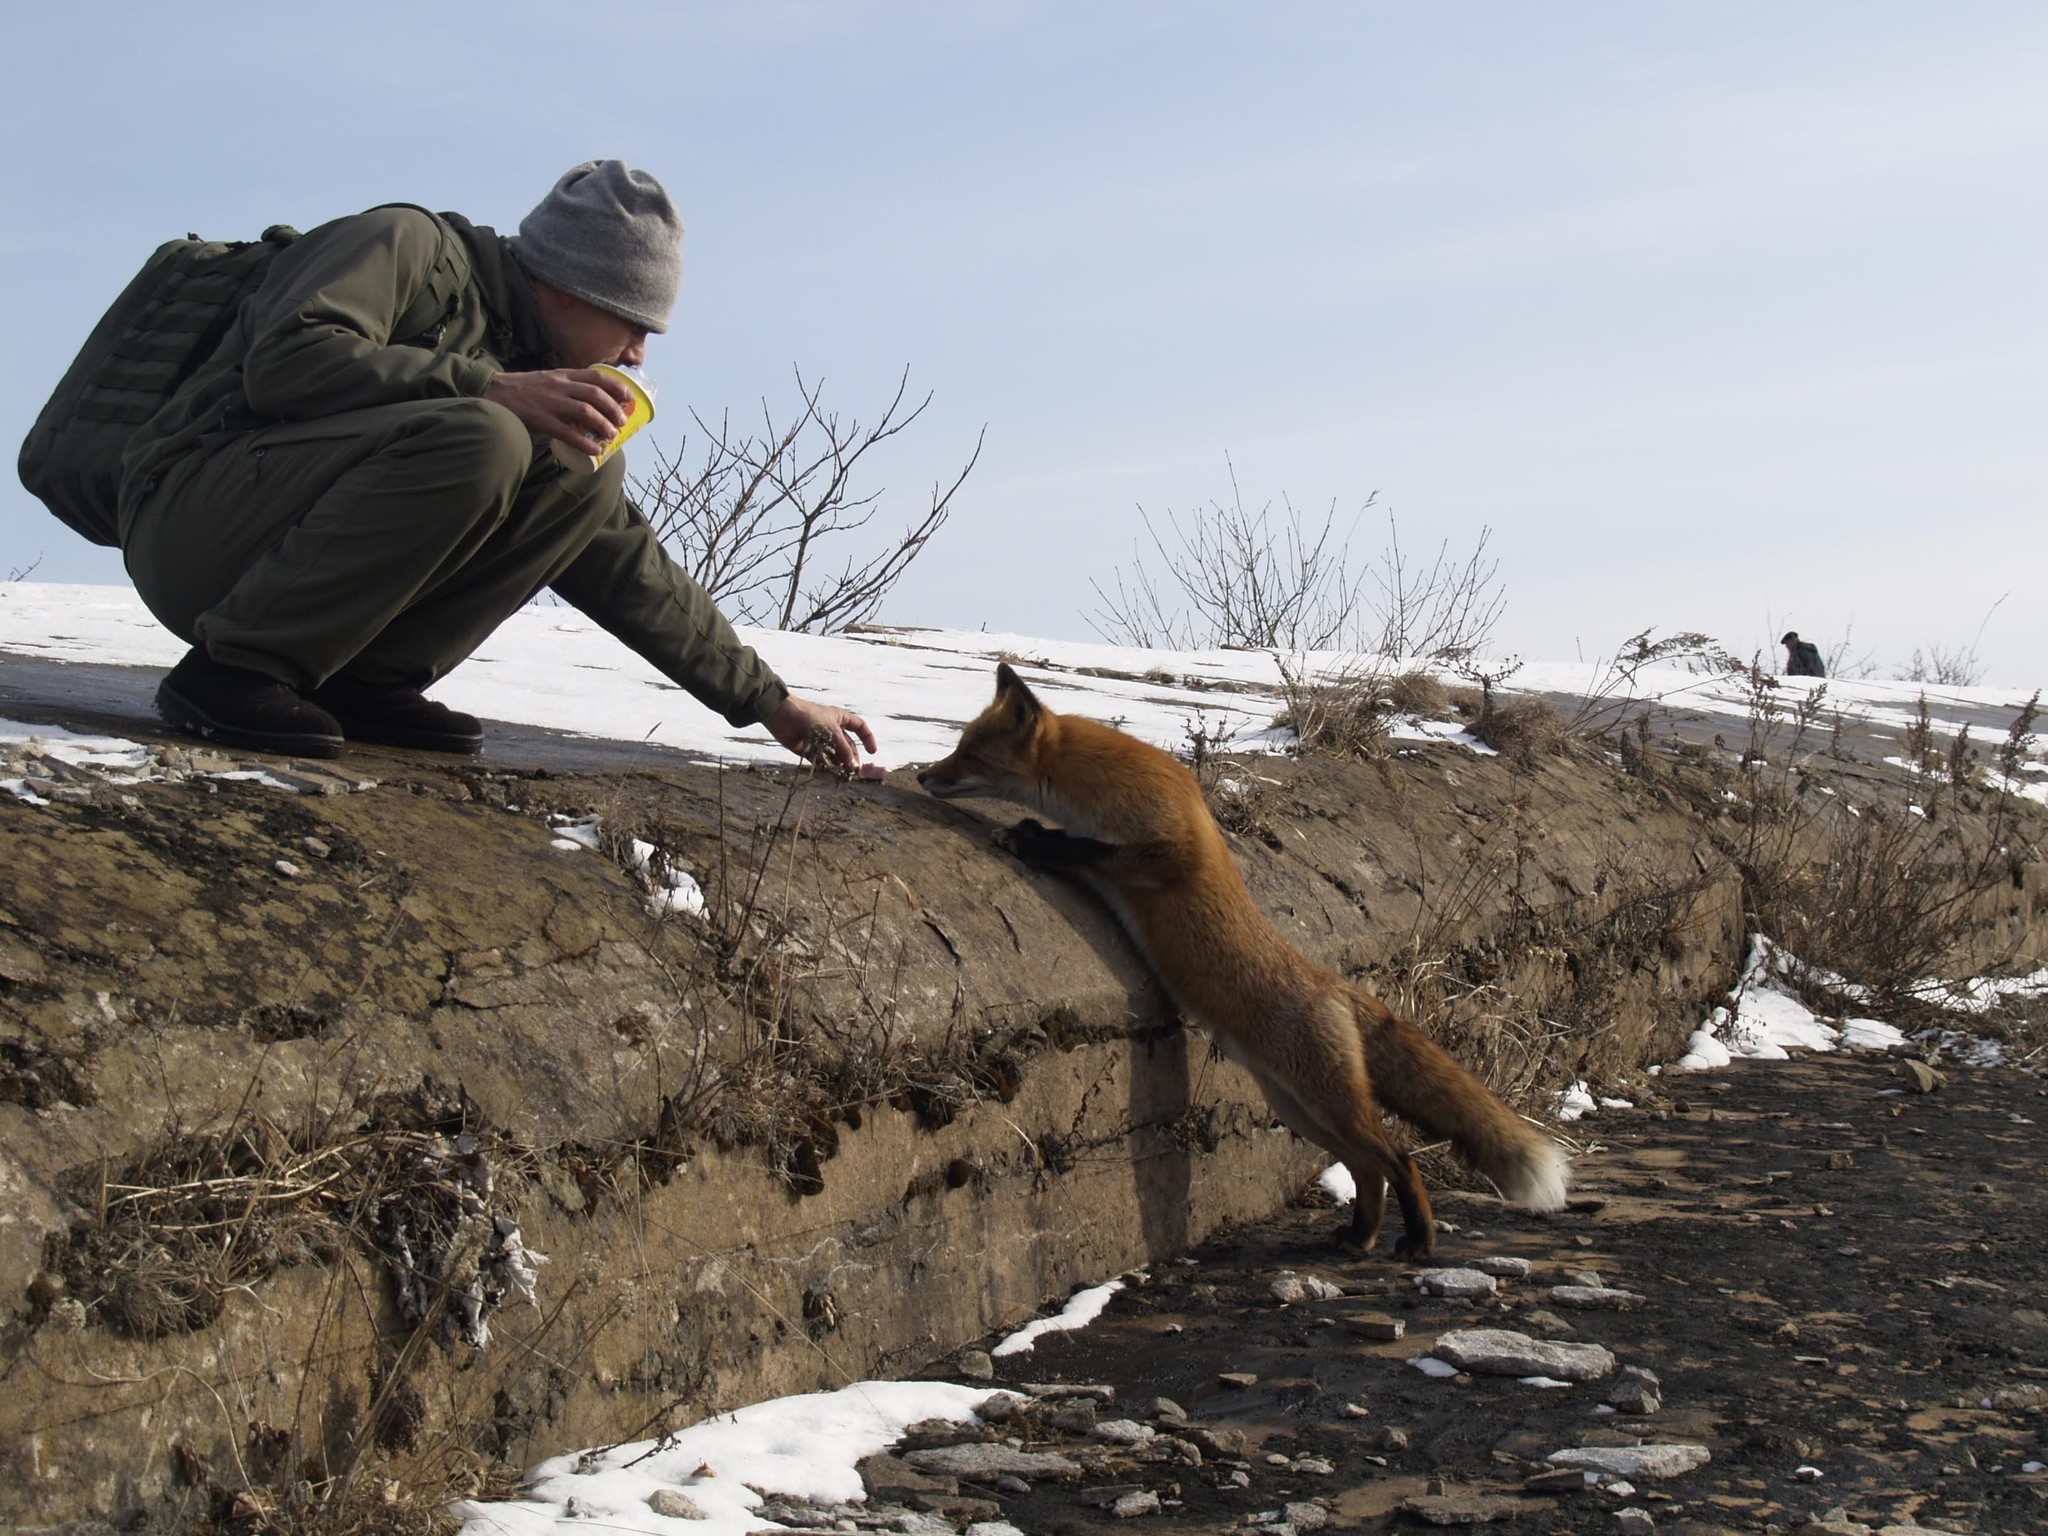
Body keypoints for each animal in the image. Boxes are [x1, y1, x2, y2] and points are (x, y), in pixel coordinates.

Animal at [913, 663, 1564, 1261]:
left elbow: (1084, 848)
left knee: (1398, 1158)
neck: (1100, 787)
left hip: (1325, 1103)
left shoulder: (1172, 854)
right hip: (1298, 1109)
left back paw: (1417, 1240)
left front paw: (1031, 840)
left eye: (970, 752)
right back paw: (1360, 1237)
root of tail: (1335, 986)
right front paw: (1033, 834)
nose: (921, 773)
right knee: (1367, 1168)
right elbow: (1083, 846)